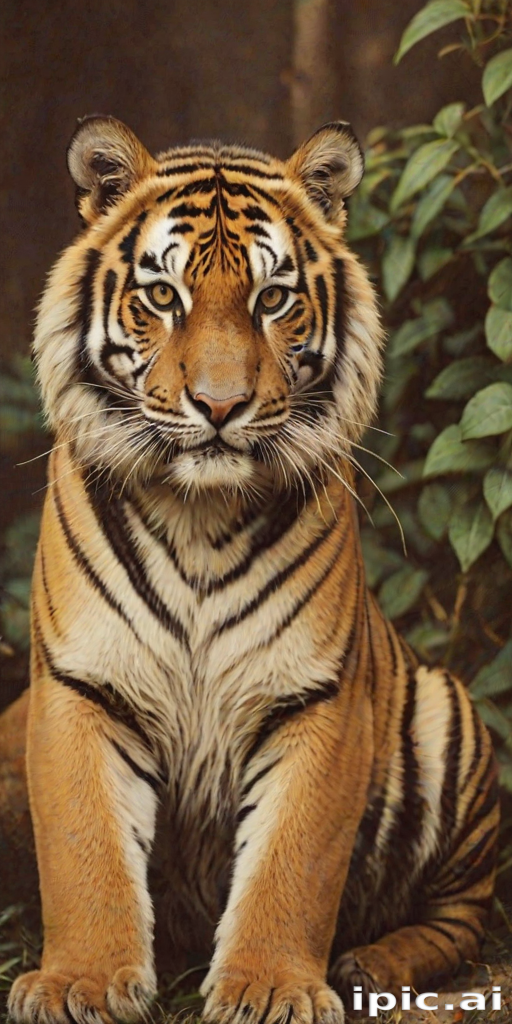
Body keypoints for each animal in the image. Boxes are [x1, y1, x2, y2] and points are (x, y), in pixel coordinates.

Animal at [6, 115, 499, 1024]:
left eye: (273, 299)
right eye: (164, 296)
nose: (220, 405)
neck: (198, 516)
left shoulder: (316, 694)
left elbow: (292, 862)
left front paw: (270, 988)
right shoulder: (81, 683)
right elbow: (82, 849)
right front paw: (81, 983)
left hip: (451, 718)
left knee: (463, 915)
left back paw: (372, 967)